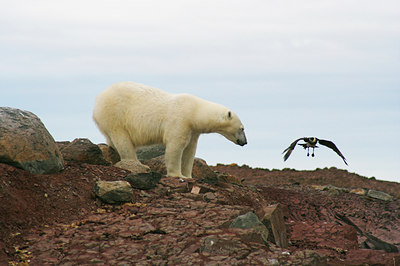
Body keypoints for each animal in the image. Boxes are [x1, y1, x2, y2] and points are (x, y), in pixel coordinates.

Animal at [93, 81, 247, 179]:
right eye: (242, 128)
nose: (244, 142)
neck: (194, 112)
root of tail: (99, 98)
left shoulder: (193, 130)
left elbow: (190, 150)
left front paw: (188, 175)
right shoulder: (180, 120)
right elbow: (176, 147)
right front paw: (177, 174)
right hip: (115, 114)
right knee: (123, 140)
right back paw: (135, 163)